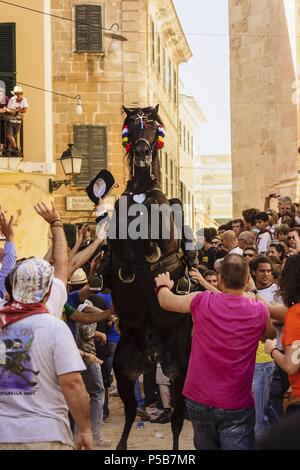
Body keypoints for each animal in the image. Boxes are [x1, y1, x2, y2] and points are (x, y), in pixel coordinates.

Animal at [106, 104, 196, 450]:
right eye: (132, 128)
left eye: (153, 127)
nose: (143, 153)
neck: (142, 191)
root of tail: (153, 355)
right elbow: (118, 241)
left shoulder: (165, 237)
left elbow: (151, 242)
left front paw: (147, 250)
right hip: (122, 370)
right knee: (131, 414)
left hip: (180, 372)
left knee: (177, 420)